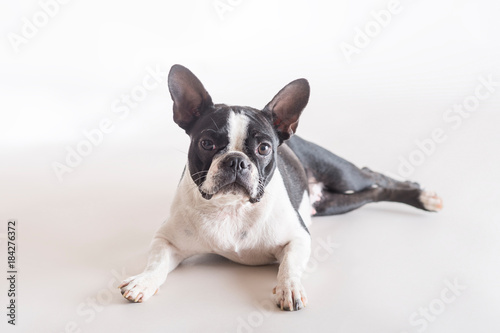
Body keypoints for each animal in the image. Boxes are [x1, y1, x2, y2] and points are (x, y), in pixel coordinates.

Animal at [118, 64, 442, 308]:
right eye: (207, 144)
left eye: (263, 148)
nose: (236, 162)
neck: (232, 209)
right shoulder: (167, 240)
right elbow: (156, 262)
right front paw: (143, 281)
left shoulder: (298, 237)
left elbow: (289, 265)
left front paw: (289, 288)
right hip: (334, 204)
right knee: (371, 193)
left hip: (343, 174)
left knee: (372, 176)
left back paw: (423, 194)